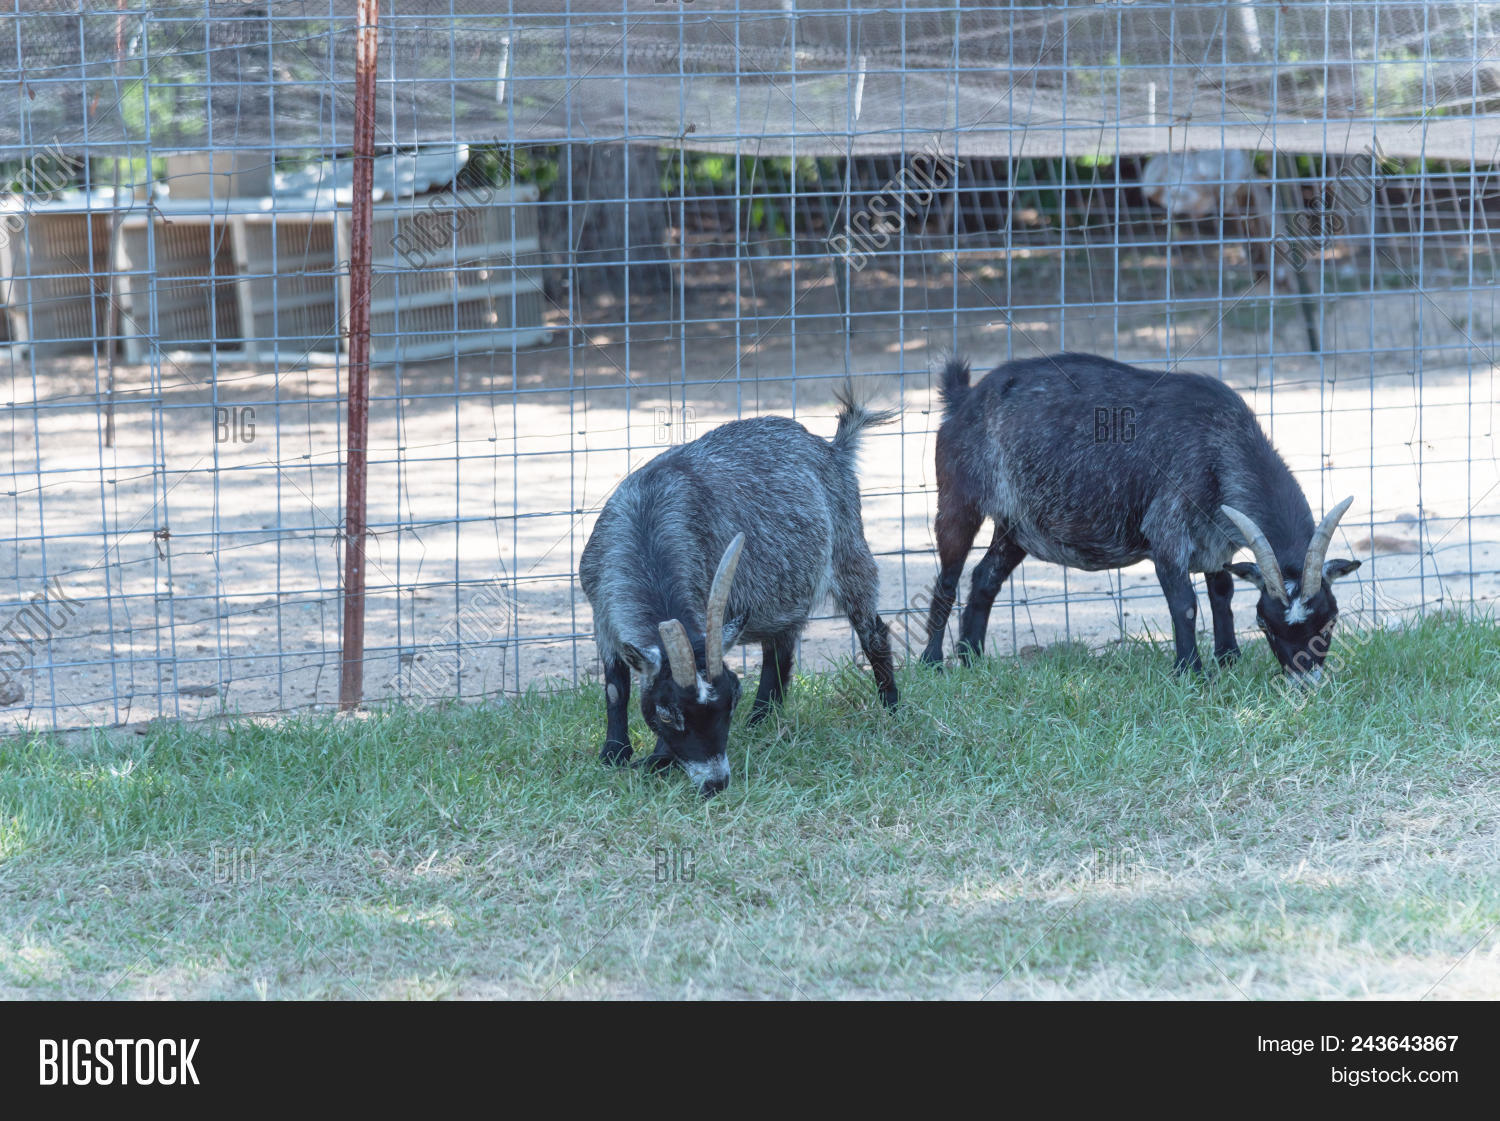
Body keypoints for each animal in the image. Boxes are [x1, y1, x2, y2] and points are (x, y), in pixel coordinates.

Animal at [580, 386, 898, 797]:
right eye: (667, 712)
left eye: (732, 699)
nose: (716, 782)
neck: (646, 525)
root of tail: (833, 449)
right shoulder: (600, 611)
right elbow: (615, 687)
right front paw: (614, 753)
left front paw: (655, 760)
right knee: (779, 651)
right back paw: (761, 720)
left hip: (849, 551)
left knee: (872, 630)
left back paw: (891, 706)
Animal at [920, 352, 1361, 683]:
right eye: (1266, 623)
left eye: (1330, 619)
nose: (1304, 680)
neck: (1219, 439)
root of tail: (965, 399)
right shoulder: (1167, 530)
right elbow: (1185, 604)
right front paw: (1190, 672)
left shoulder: (1216, 540)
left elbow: (1222, 593)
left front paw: (1228, 659)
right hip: (958, 501)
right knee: (948, 580)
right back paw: (932, 662)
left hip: (1016, 528)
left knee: (984, 579)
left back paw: (972, 659)